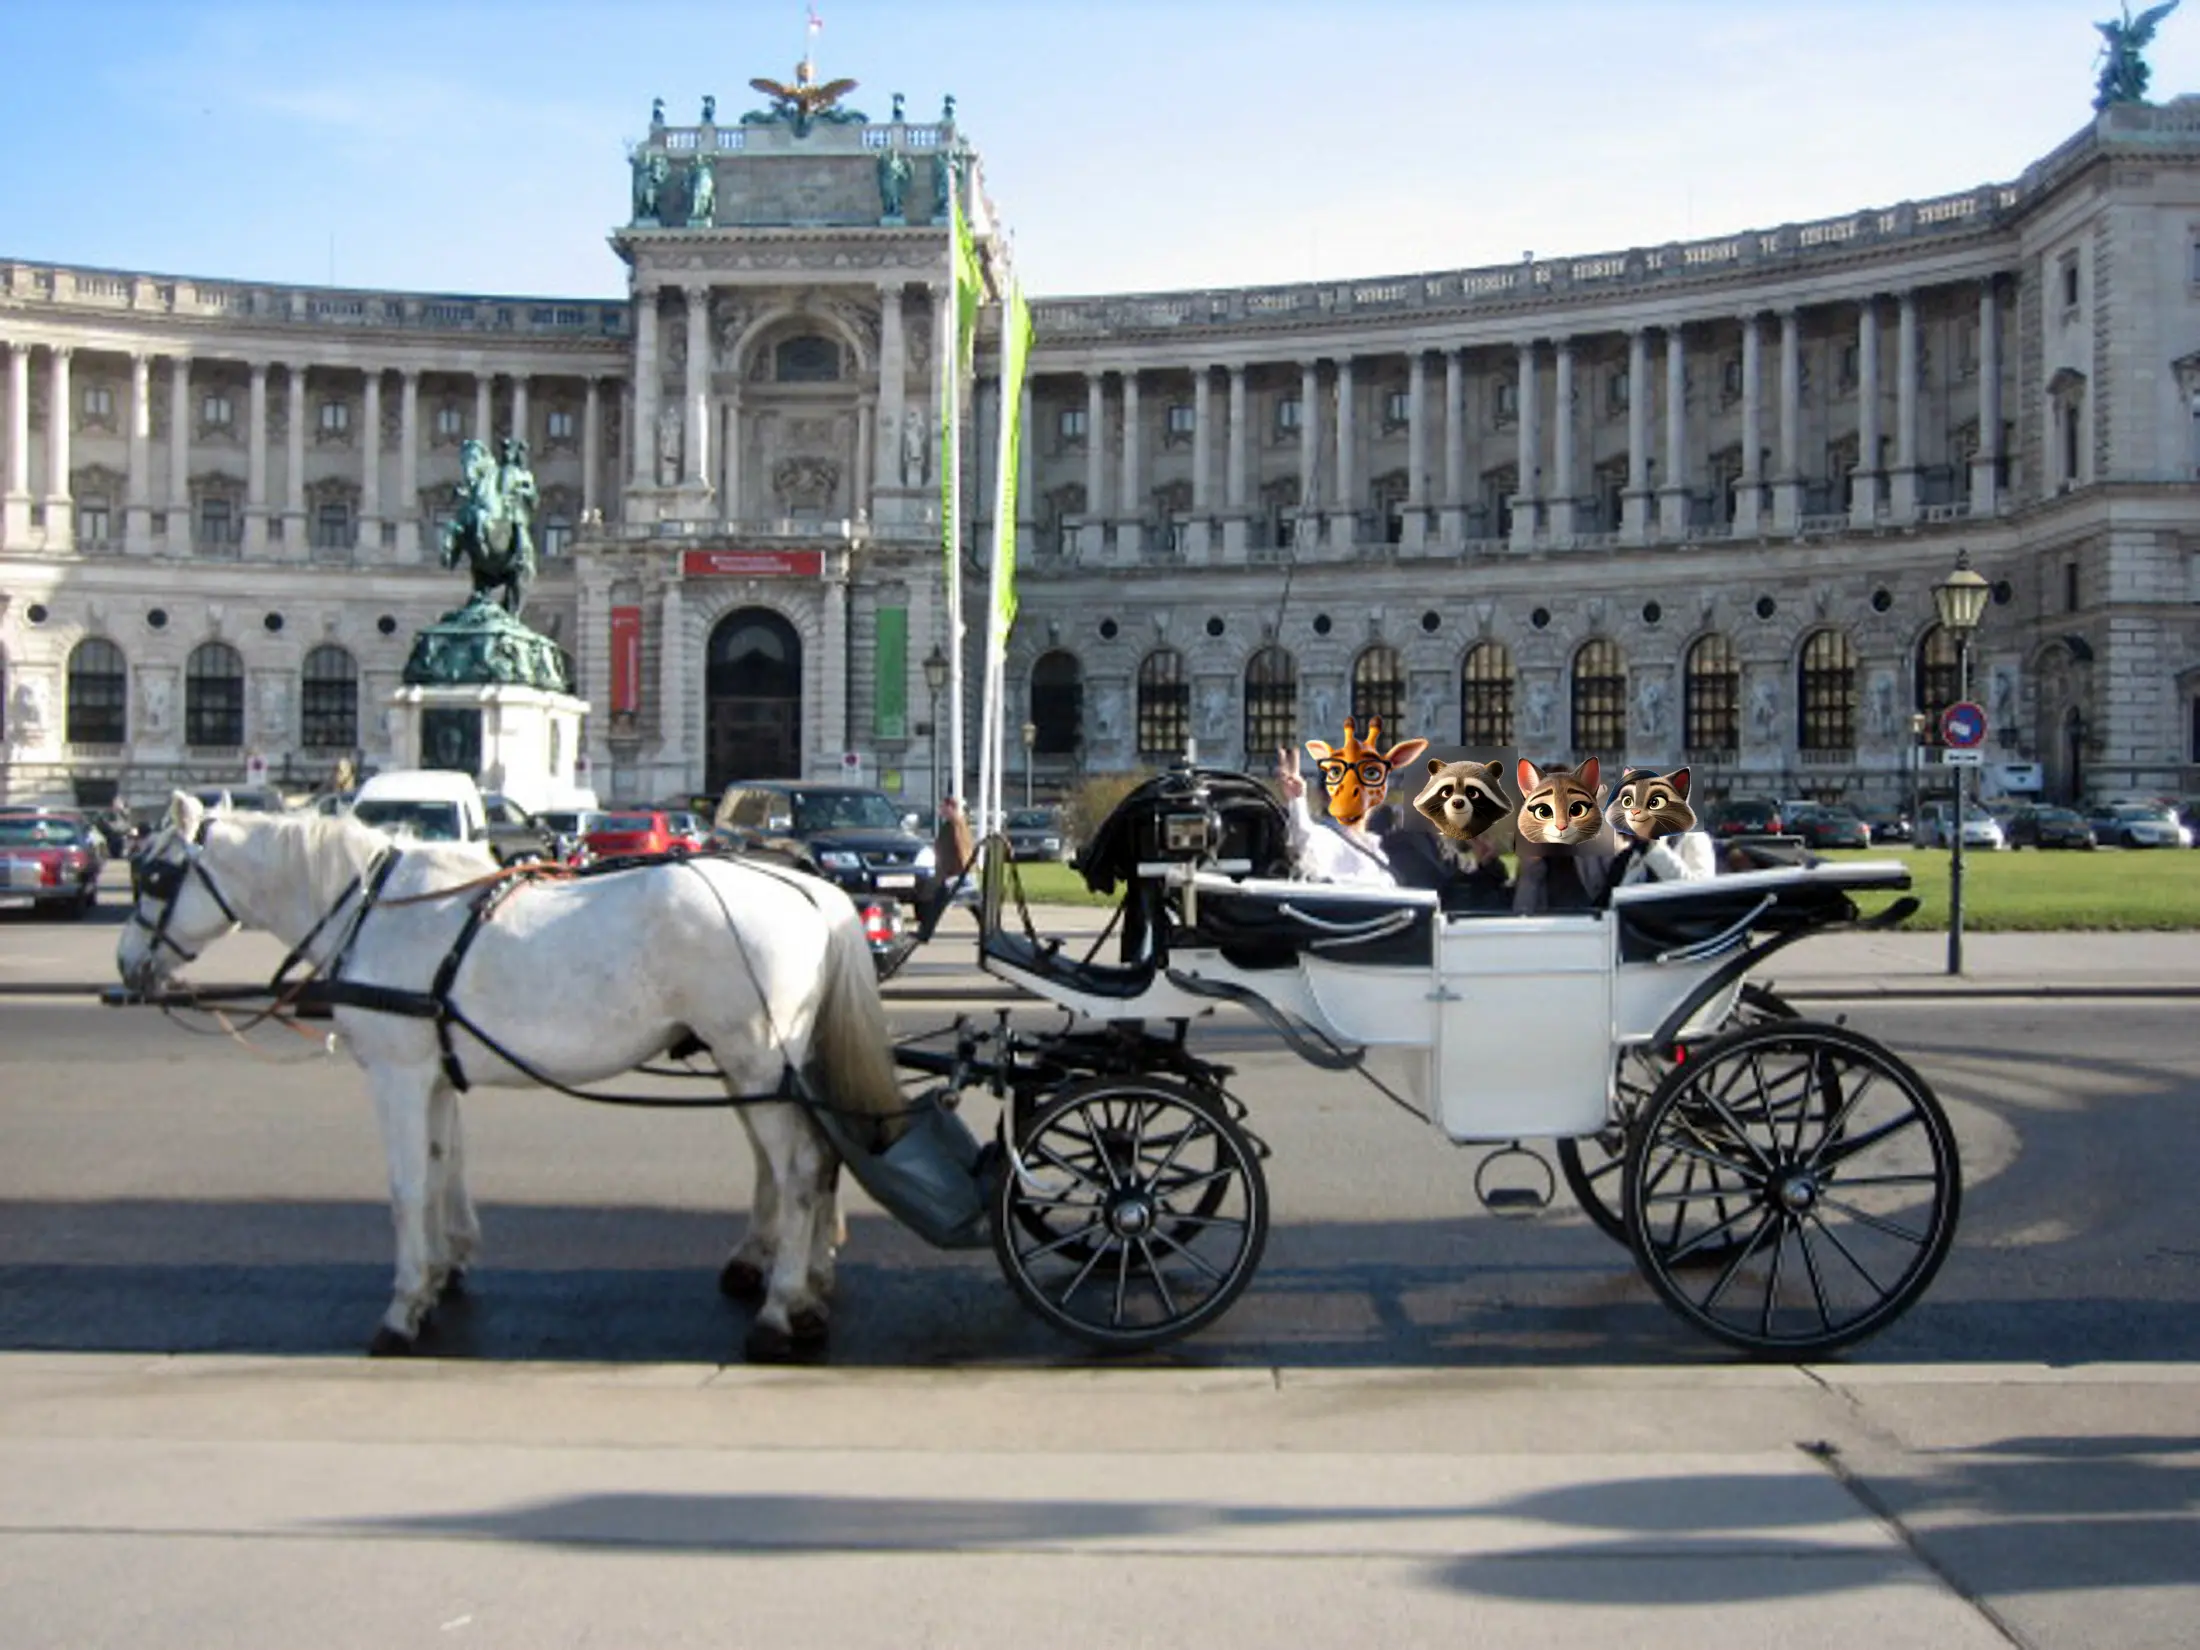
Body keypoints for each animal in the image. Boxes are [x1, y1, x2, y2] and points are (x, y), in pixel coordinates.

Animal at [116, 796, 906, 1364]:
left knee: (801, 1165)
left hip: (753, 1055)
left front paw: (402, 1309)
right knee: (813, 1159)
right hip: (769, 1063)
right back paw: (803, 1292)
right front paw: (439, 1277)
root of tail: (810, 890)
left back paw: (779, 1311)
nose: (127, 965)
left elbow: (406, 1186)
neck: (373, 912)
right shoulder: (433, 1073)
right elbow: (440, 1170)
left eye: (153, 874)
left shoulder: (398, 1072)